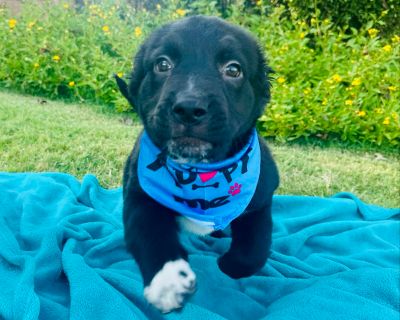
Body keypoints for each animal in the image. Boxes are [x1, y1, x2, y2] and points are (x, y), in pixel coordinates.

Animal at [115, 15, 278, 312]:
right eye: (162, 64)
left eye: (233, 69)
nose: (189, 108)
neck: (200, 172)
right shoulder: (139, 196)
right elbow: (149, 234)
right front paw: (168, 281)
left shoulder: (260, 201)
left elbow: (254, 252)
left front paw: (229, 264)